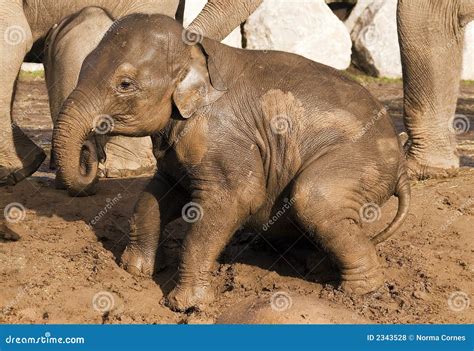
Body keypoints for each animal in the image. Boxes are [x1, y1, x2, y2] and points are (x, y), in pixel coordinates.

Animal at [51, 13, 408, 312]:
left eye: (125, 84)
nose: (91, 153)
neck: (195, 48)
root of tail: (401, 167)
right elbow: (155, 197)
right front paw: (135, 271)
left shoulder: (222, 135)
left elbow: (236, 198)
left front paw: (186, 305)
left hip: (360, 161)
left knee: (314, 198)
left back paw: (355, 293)